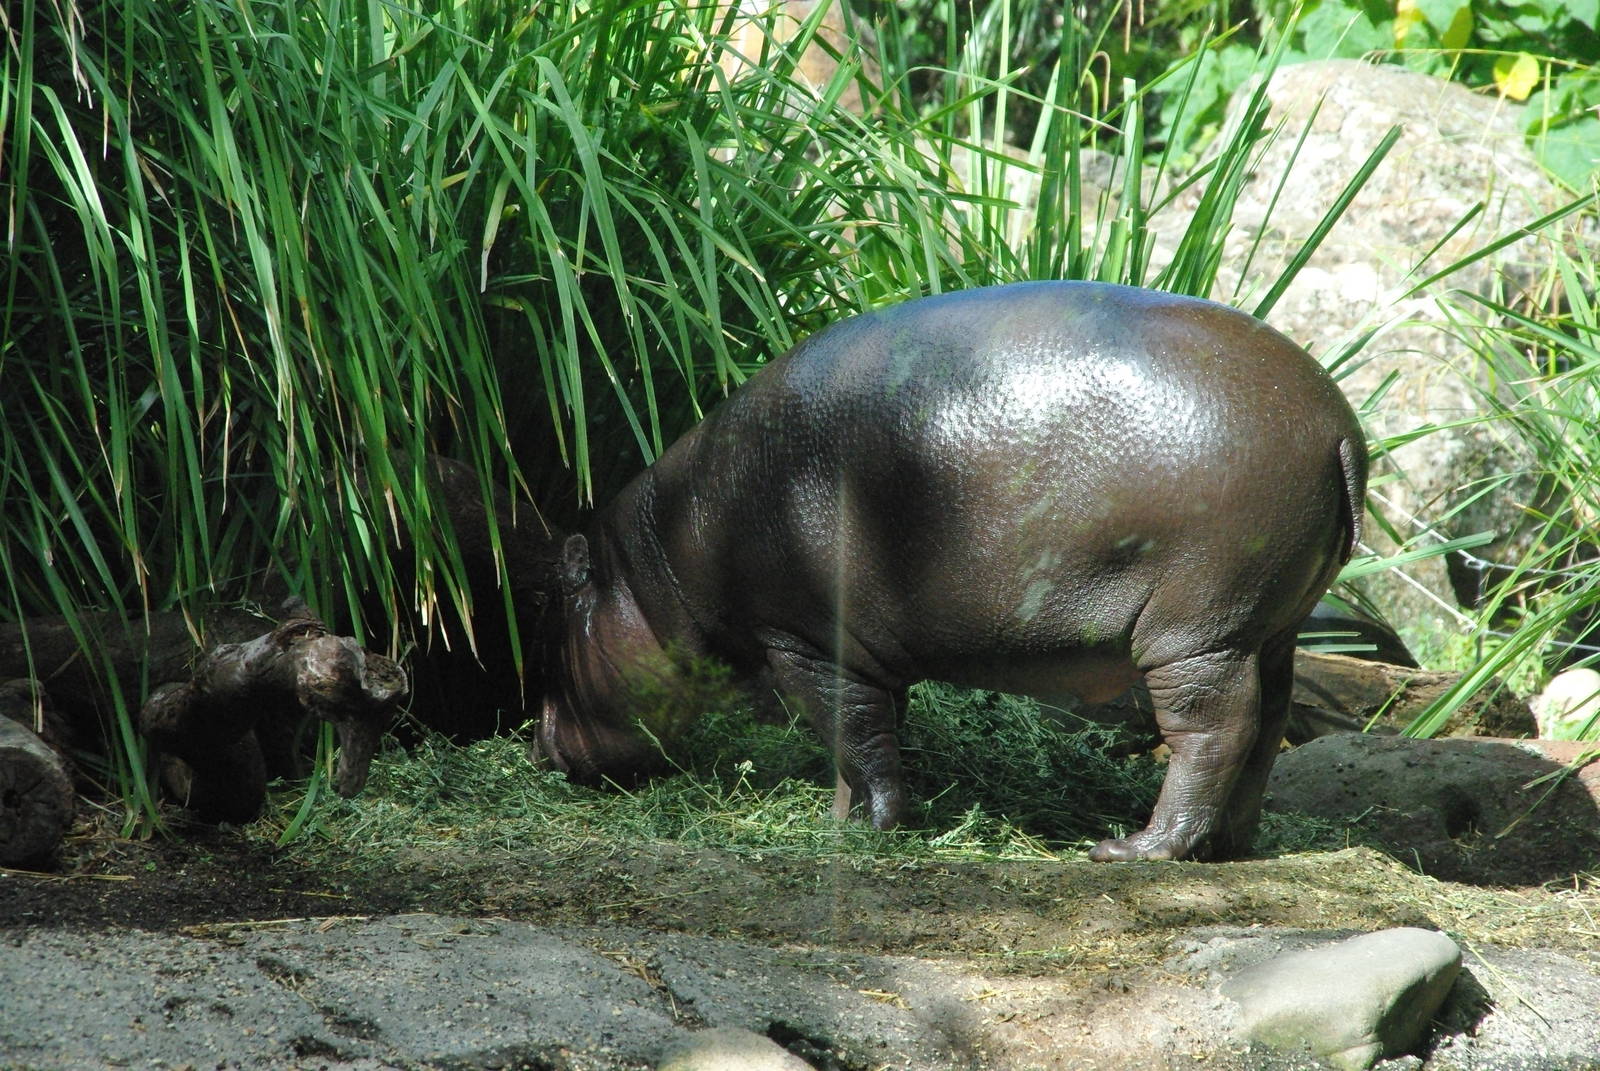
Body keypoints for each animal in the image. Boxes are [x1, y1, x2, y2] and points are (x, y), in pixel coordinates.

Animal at [538, 281, 1367, 862]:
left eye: (561, 602)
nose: (536, 743)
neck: (662, 555)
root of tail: (1339, 427)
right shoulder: (859, 652)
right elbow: (867, 740)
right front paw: (839, 825)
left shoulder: (805, 642)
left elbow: (854, 737)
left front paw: (868, 831)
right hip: (1269, 626)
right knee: (1268, 723)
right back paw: (1228, 847)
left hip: (1197, 631)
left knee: (1212, 732)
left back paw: (1134, 849)